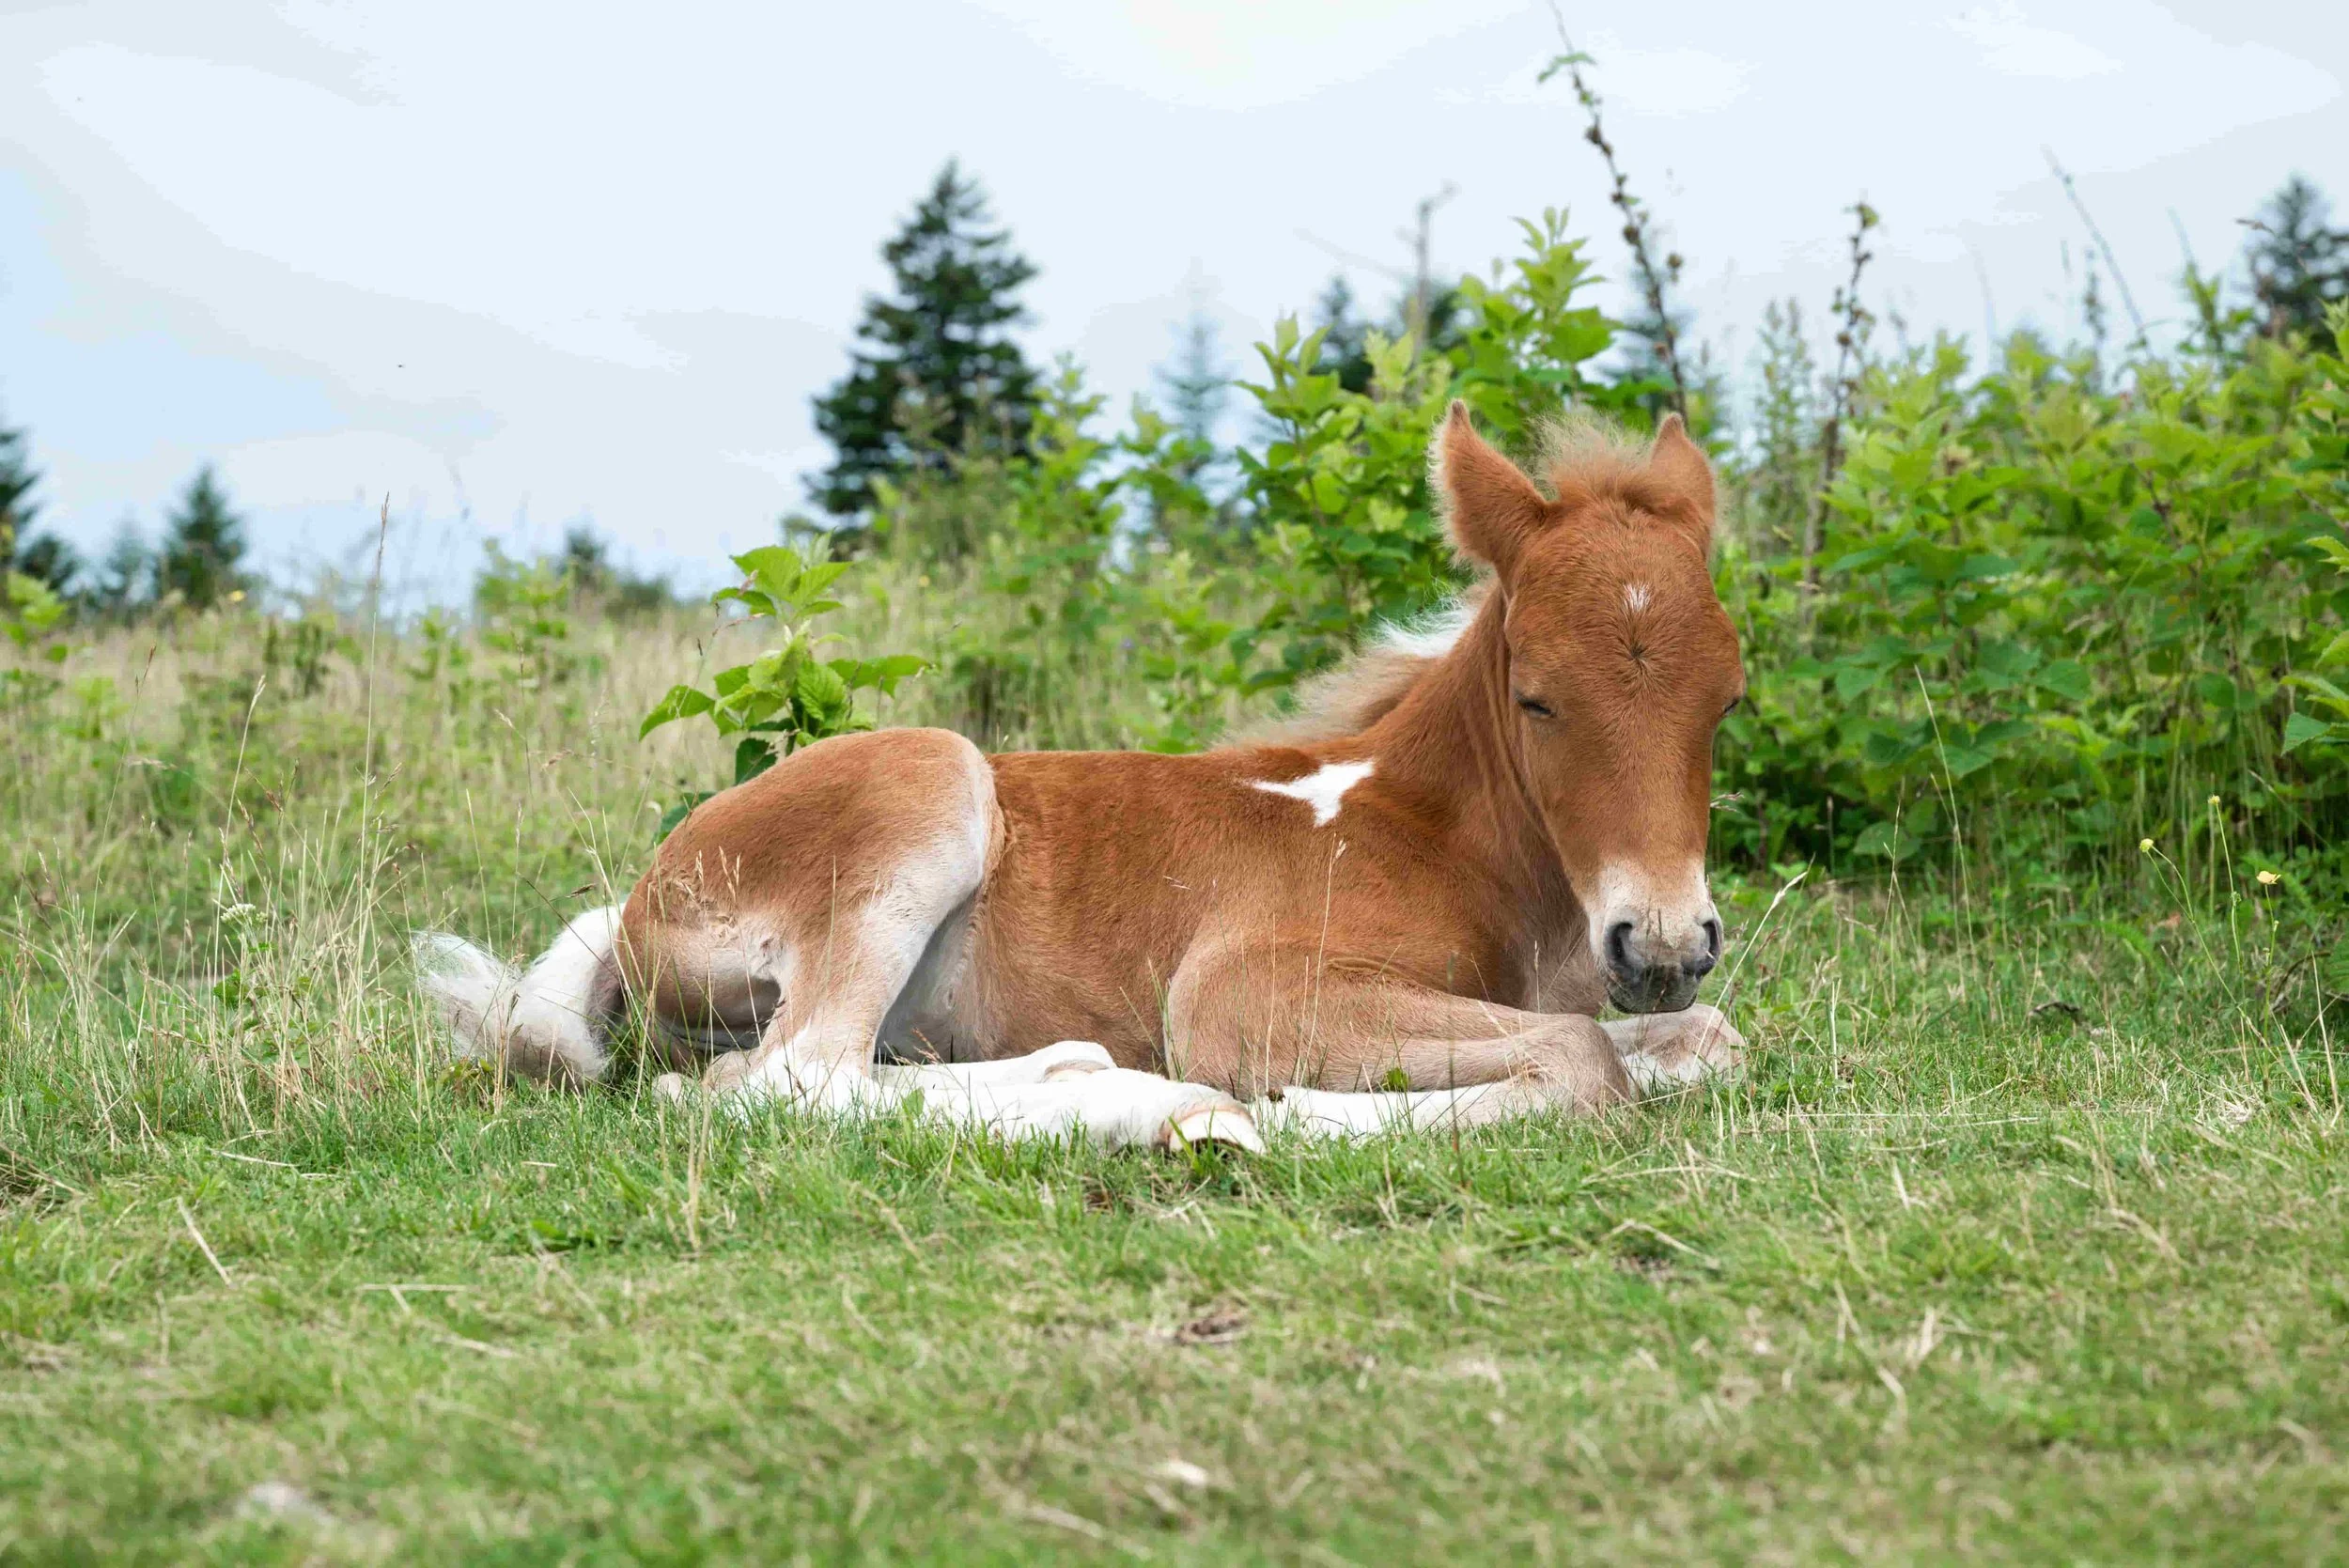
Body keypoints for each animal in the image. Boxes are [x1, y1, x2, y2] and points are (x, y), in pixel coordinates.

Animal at [414, 405, 1748, 1151]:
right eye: (1537, 698)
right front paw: (1298, 1114)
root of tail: (640, 898)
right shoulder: (1243, 988)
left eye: (1727, 699)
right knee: (785, 1080)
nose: (1661, 941)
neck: (1432, 832)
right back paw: (1142, 1103)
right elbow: (1581, 1062)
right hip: (930, 784)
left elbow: (1696, 1039)